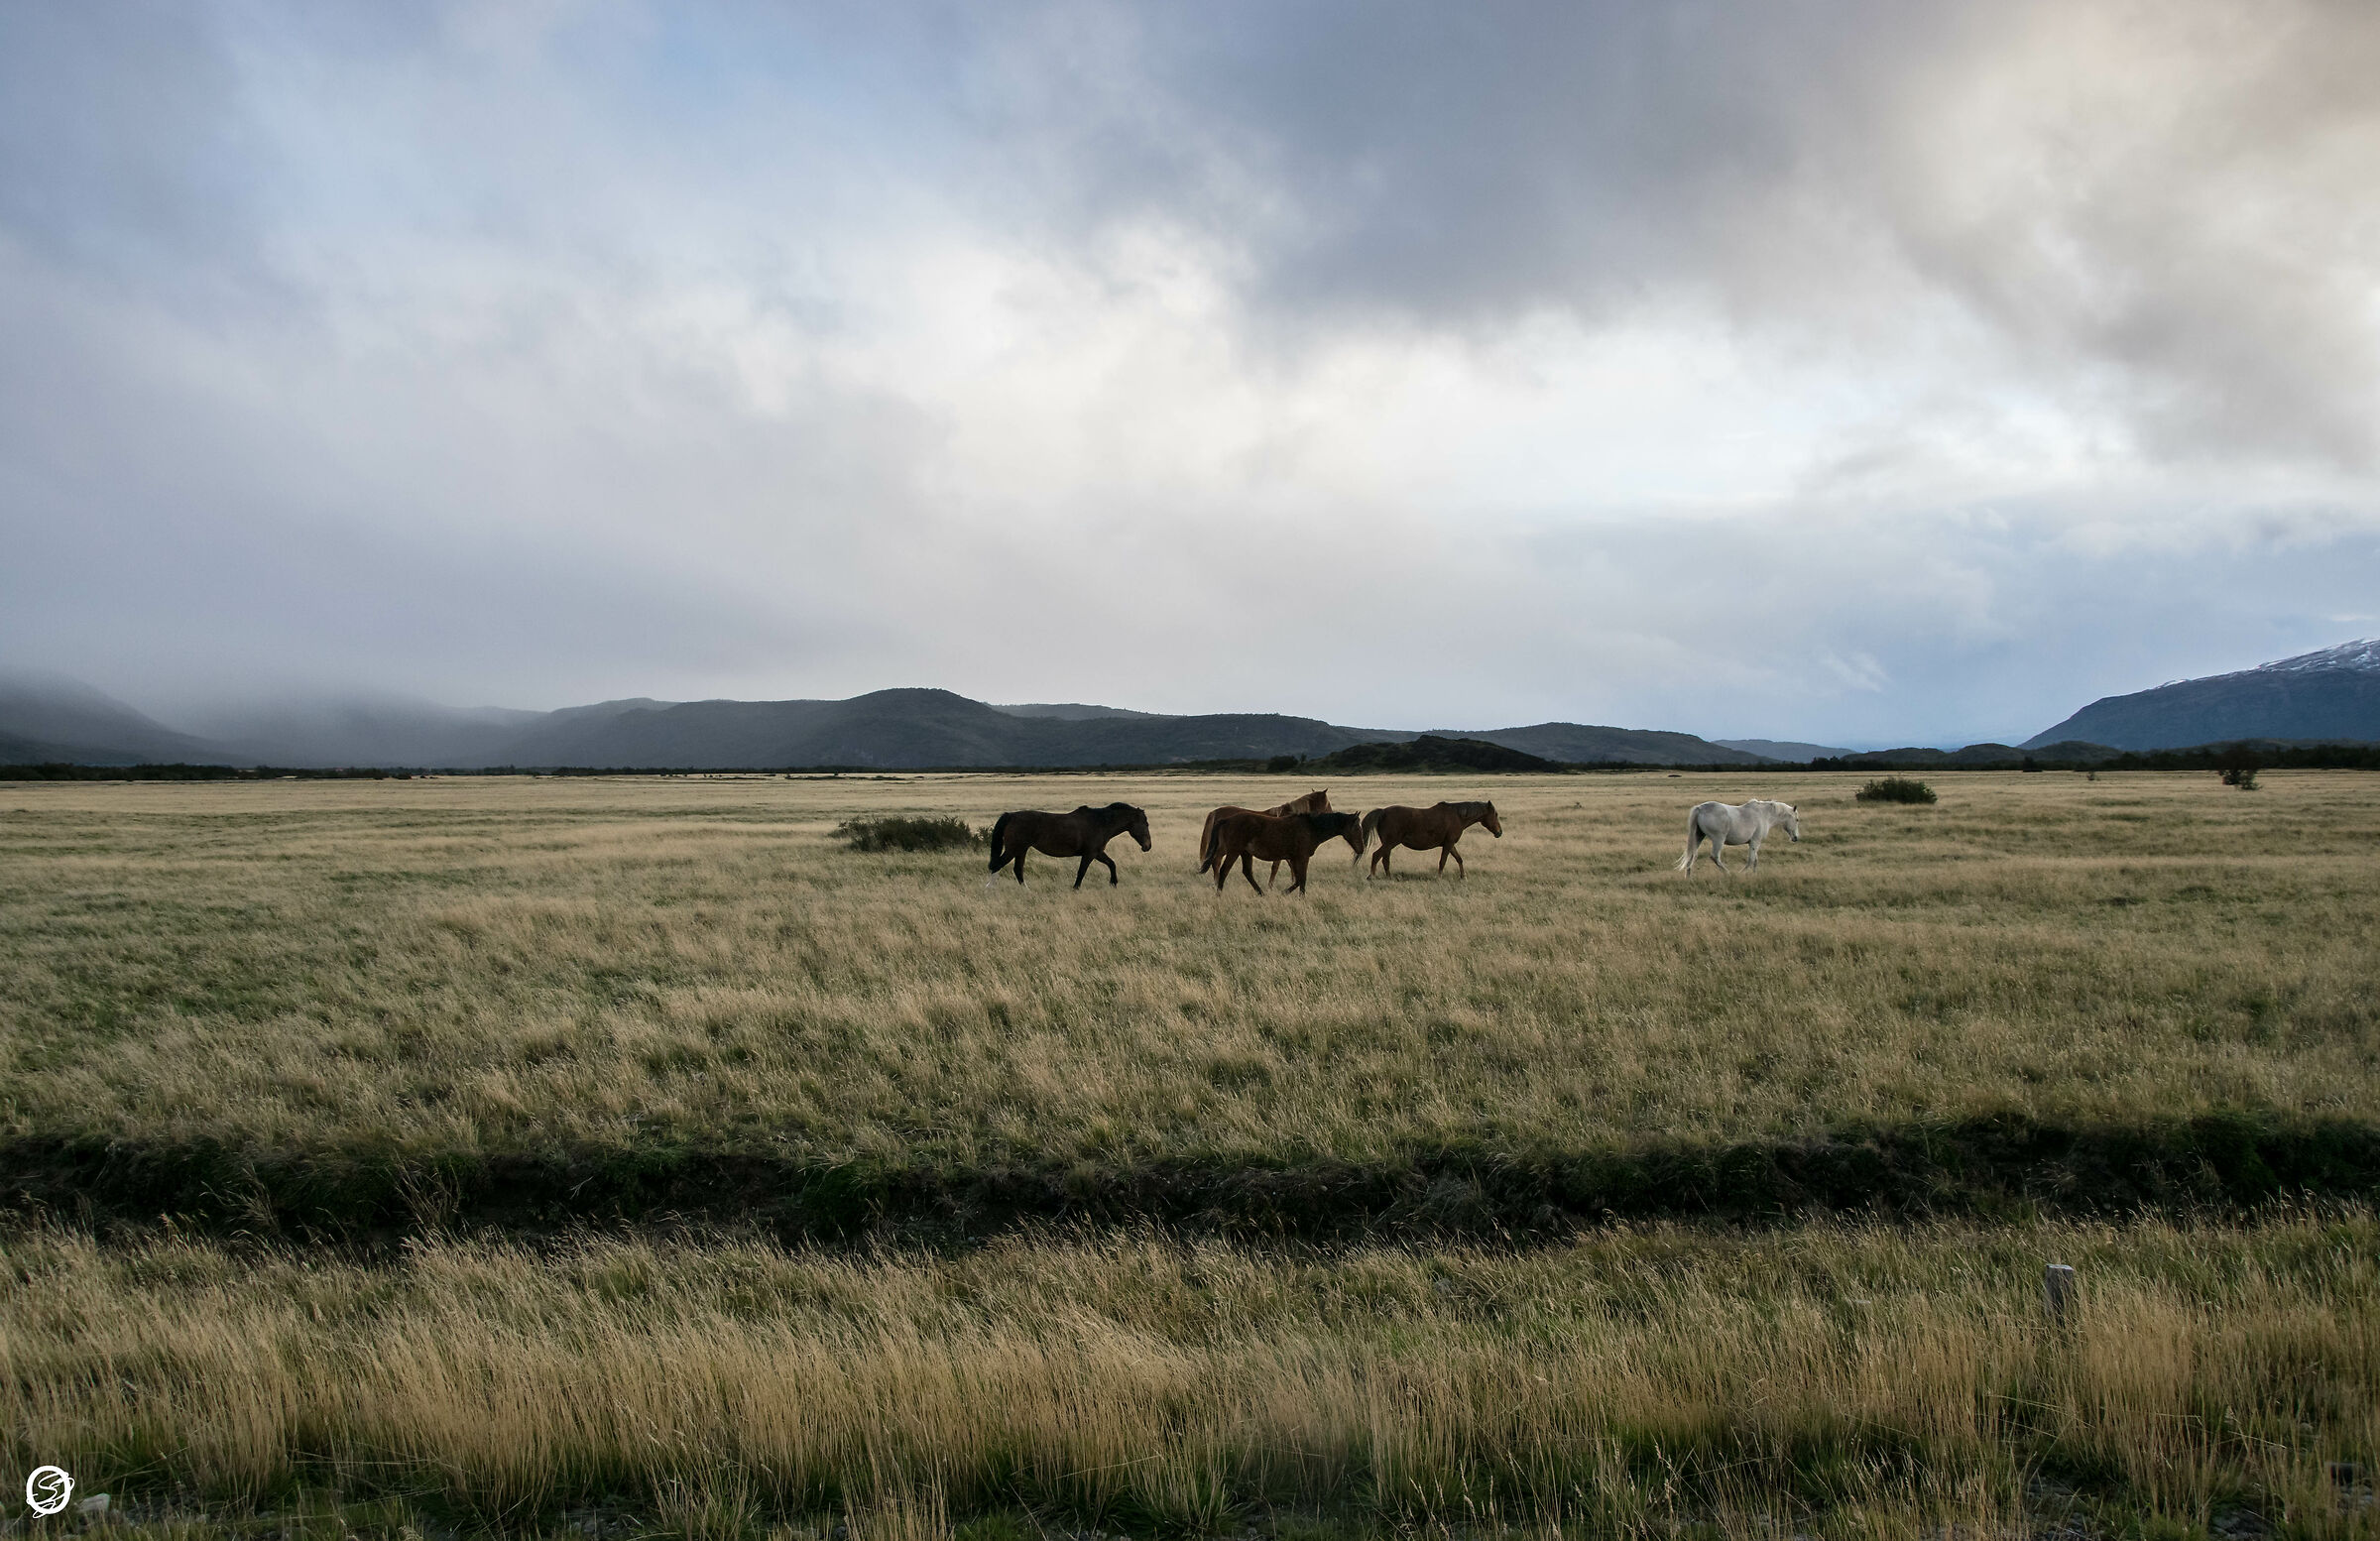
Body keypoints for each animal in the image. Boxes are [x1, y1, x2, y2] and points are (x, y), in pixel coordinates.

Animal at [987, 803, 1152, 887]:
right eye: (1145, 824)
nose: (1147, 846)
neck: (1100, 823)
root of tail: (1011, 816)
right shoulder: (1090, 854)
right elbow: (1081, 872)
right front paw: (1075, 889)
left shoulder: (1098, 853)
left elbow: (1112, 864)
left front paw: (1113, 883)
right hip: (1013, 849)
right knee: (997, 866)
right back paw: (989, 890)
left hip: (1021, 850)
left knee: (1018, 870)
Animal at [1197, 789, 1331, 883]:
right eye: (1327, 803)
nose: (1331, 813)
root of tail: (1215, 812)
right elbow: (1276, 867)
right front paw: (1270, 886)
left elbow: (1290, 864)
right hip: (1226, 847)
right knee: (1216, 861)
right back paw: (1216, 882)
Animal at [1207, 810, 1366, 895]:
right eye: (1357, 829)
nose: (1362, 849)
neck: (1311, 827)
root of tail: (1226, 820)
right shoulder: (1302, 857)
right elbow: (1302, 879)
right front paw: (1297, 896)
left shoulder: (1294, 858)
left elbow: (1298, 879)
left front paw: (1285, 893)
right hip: (1234, 852)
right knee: (1224, 871)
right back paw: (1219, 895)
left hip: (1245, 853)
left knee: (1247, 872)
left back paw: (1261, 894)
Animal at [1360, 801, 1501, 878]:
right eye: (1495, 814)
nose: (1499, 832)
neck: (1457, 817)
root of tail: (1383, 812)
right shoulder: (1448, 844)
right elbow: (1443, 861)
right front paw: (1439, 877)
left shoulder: (1450, 844)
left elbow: (1459, 859)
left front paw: (1463, 876)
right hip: (1390, 843)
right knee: (1376, 855)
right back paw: (1371, 876)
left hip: (1388, 844)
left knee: (1385, 860)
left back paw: (1389, 877)